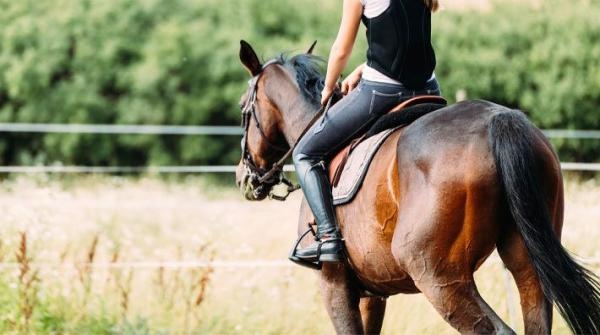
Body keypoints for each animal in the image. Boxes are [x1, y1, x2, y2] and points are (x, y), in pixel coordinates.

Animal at [234, 40, 600, 334]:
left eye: (242, 108)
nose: (243, 177)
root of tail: (499, 119)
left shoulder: (334, 285)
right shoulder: (372, 295)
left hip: (440, 278)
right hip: (527, 265)